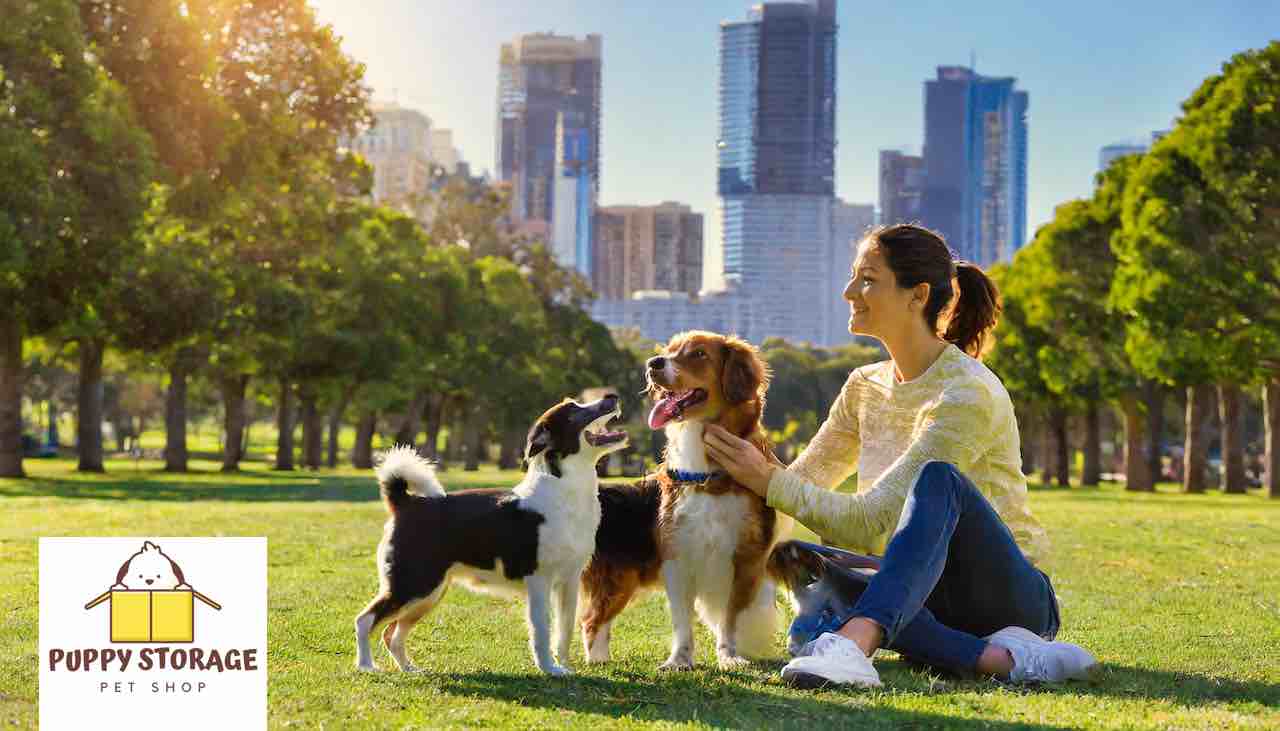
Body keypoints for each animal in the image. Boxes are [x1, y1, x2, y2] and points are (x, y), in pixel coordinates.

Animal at [353, 396, 627, 675]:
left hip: (427, 594)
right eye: (573, 410)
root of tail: (407, 503)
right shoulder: (539, 582)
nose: (611, 397)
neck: (565, 489)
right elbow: (541, 632)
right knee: (365, 620)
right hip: (413, 585)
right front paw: (549, 670)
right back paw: (366, 666)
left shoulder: (568, 583)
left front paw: (563, 669)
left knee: (392, 633)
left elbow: (563, 633)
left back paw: (409, 669)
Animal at [578, 330, 778, 670]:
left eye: (698, 354)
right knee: (592, 620)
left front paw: (728, 657)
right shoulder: (677, 555)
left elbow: (730, 618)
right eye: (669, 351)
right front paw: (679, 660)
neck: (707, 477)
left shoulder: (746, 560)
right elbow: (682, 621)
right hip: (620, 579)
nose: (652, 363)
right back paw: (598, 661)